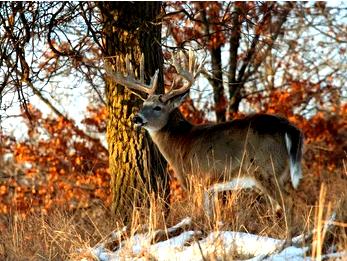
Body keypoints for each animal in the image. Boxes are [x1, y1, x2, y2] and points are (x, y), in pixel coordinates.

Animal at [106, 49, 304, 239]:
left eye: (158, 107)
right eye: (143, 104)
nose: (136, 118)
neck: (180, 143)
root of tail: (288, 127)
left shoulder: (194, 179)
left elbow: (199, 215)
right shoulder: (209, 187)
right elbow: (210, 217)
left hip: (266, 168)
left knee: (287, 201)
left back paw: (286, 239)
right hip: (282, 172)